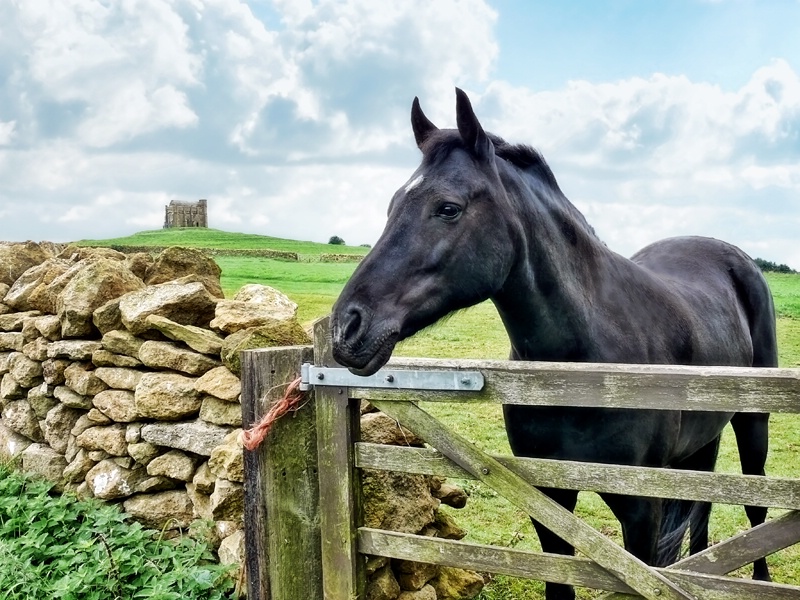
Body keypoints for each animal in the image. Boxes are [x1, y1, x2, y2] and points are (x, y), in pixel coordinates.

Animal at [330, 89, 776, 600]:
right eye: (392, 205)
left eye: (448, 208)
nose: (347, 327)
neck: (582, 368)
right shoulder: (549, 499)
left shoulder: (642, 509)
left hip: (752, 426)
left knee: (756, 511)